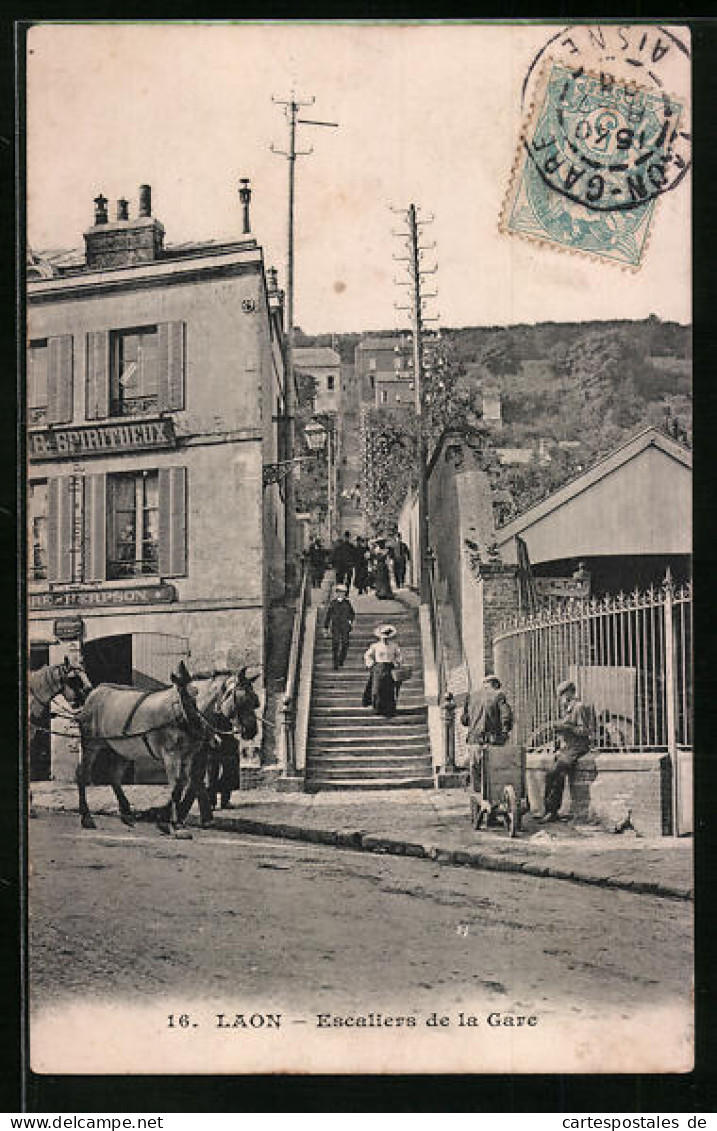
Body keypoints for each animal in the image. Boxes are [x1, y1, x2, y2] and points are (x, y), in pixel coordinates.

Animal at [74, 660, 254, 836]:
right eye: (241, 699)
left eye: (254, 700)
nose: (252, 731)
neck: (183, 710)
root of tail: (96, 691)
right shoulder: (171, 754)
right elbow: (176, 786)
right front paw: (175, 825)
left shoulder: (188, 754)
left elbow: (182, 784)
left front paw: (168, 821)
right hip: (91, 743)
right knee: (82, 774)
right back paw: (87, 817)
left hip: (123, 749)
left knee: (114, 776)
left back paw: (126, 813)